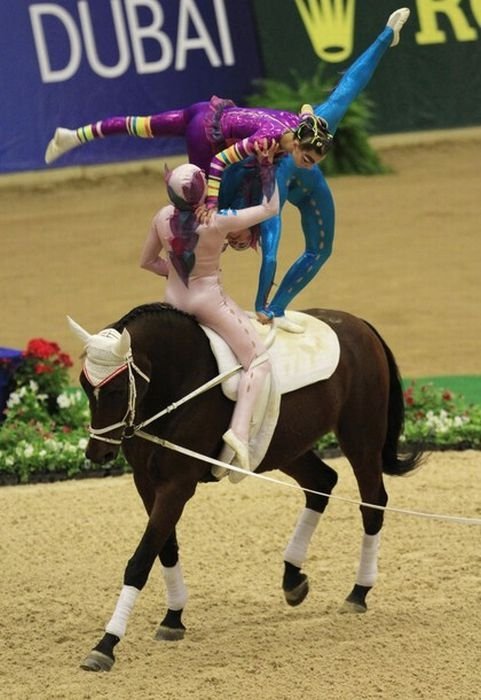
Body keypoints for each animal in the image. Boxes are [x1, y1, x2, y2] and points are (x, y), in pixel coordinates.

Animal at [67, 302, 420, 672]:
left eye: (117, 390)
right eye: (83, 385)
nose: (98, 453)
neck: (178, 381)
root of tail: (358, 323)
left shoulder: (177, 485)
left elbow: (140, 560)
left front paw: (106, 645)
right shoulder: (146, 483)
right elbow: (165, 548)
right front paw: (173, 618)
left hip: (360, 438)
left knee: (372, 504)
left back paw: (358, 592)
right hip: (283, 447)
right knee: (322, 483)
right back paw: (293, 579)